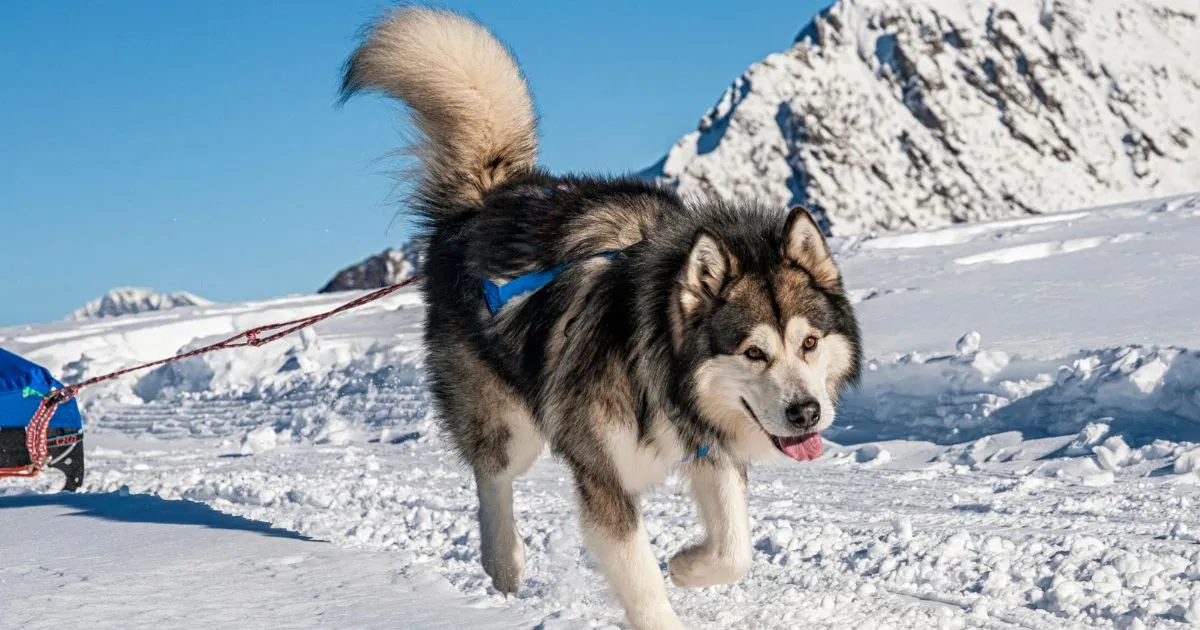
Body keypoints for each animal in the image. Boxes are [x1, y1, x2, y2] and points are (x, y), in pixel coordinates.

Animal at [343, 7, 859, 624]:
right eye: (753, 352)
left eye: (809, 343)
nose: (807, 413)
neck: (656, 365)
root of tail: (485, 200)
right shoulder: (603, 477)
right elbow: (643, 583)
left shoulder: (709, 441)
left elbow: (735, 550)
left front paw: (687, 565)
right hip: (509, 424)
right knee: (492, 476)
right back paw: (504, 563)